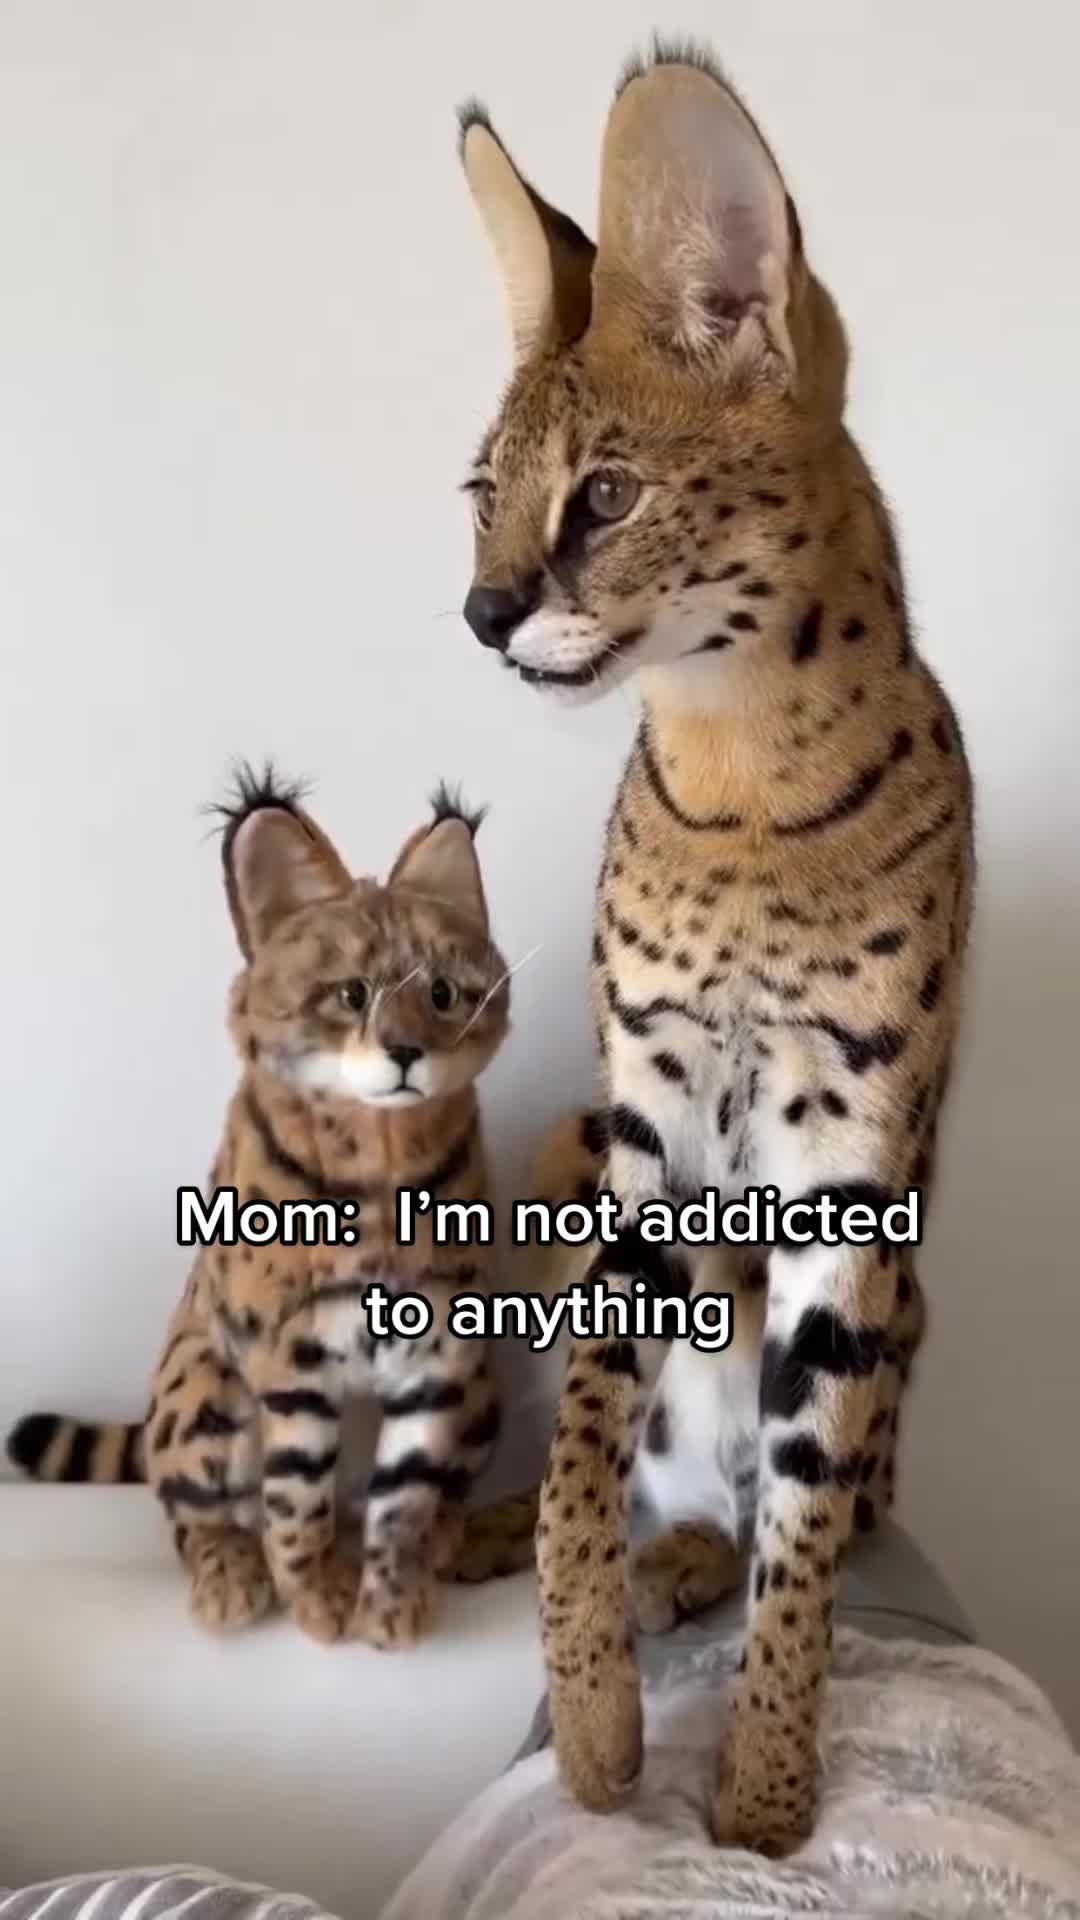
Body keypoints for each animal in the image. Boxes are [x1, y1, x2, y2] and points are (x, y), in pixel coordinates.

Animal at [8, 766, 535, 1644]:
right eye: (351, 994)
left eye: (442, 993)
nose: (405, 1051)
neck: (380, 1168)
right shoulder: (292, 1349)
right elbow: (296, 1499)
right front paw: (318, 1599)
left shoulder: (440, 1349)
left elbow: (406, 1496)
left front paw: (391, 1600)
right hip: (196, 1376)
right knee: (197, 1513)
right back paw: (228, 1576)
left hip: (484, 1384)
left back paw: (445, 1542)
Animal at [455, 41, 974, 1854]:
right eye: (482, 501)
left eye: (605, 498)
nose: (478, 614)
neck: (742, 776)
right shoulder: (643, 1127)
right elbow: (585, 1443)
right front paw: (601, 1730)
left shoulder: (848, 1167)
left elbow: (805, 1523)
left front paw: (759, 1799)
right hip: (554, 1149)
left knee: (799, 1492)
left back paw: (691, 1561)